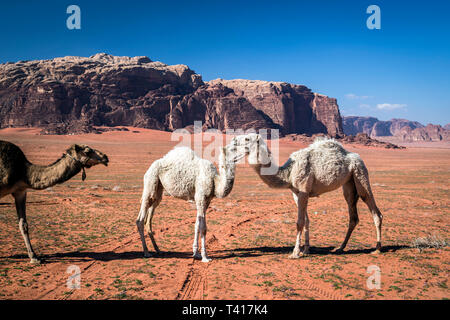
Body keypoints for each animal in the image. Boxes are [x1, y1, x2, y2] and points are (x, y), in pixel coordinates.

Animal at [232, 134, 384, 258]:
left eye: (247, 138)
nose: (233, 141)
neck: (287, 173)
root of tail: (356, 156)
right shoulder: (296, 193)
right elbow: (306, 221)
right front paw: (305, 250)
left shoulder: (304, 189)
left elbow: (299, 222)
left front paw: (295, 253)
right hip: (348, 183)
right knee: (353, 215)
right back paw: (340, 248)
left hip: (360, 173)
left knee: (374, 209)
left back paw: (377, 249)